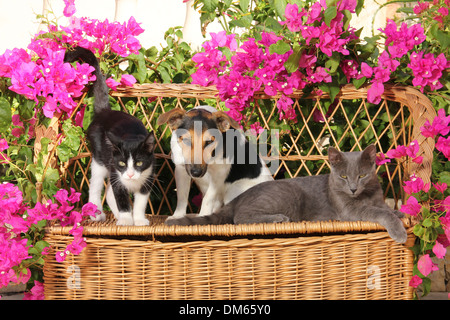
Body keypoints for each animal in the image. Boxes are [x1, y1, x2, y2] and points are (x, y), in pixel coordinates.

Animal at [64, 48, 156, 228]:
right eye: (122, 163)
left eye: (139, 163)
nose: (130, 175)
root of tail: (105, 112)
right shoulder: (116, 172)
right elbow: (121, 198)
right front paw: (127, 220)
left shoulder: (148, 175)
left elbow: (141, 201)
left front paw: (139, 219)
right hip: (100, 159)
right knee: (96, 186)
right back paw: (97, 214)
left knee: (108, 193)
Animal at [166, 145, 408, 242]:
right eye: (343, 177)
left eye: (362, 175)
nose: (353, 188)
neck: (366, 195)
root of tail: (239, 198)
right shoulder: (349, 209)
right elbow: (379, 212)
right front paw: (399, 231)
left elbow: (385, 207)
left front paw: (401, 214)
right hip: (287, 196)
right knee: (240, 217)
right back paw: (279, 218)